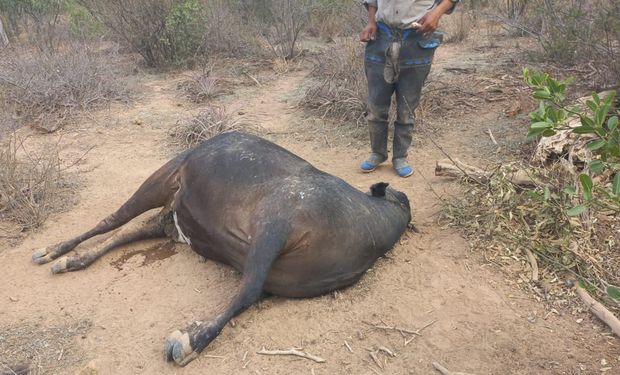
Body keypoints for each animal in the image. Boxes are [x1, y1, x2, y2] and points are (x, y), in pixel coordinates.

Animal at [32, 133, 412, 368]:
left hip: (172, 219)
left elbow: (249, 294)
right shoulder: (275, 223)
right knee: (111, 220)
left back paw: (74, 259)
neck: (370, 226)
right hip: (163, 177)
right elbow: (247, 291)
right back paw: (53, 251)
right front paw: (189, 340)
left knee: (130, 231)